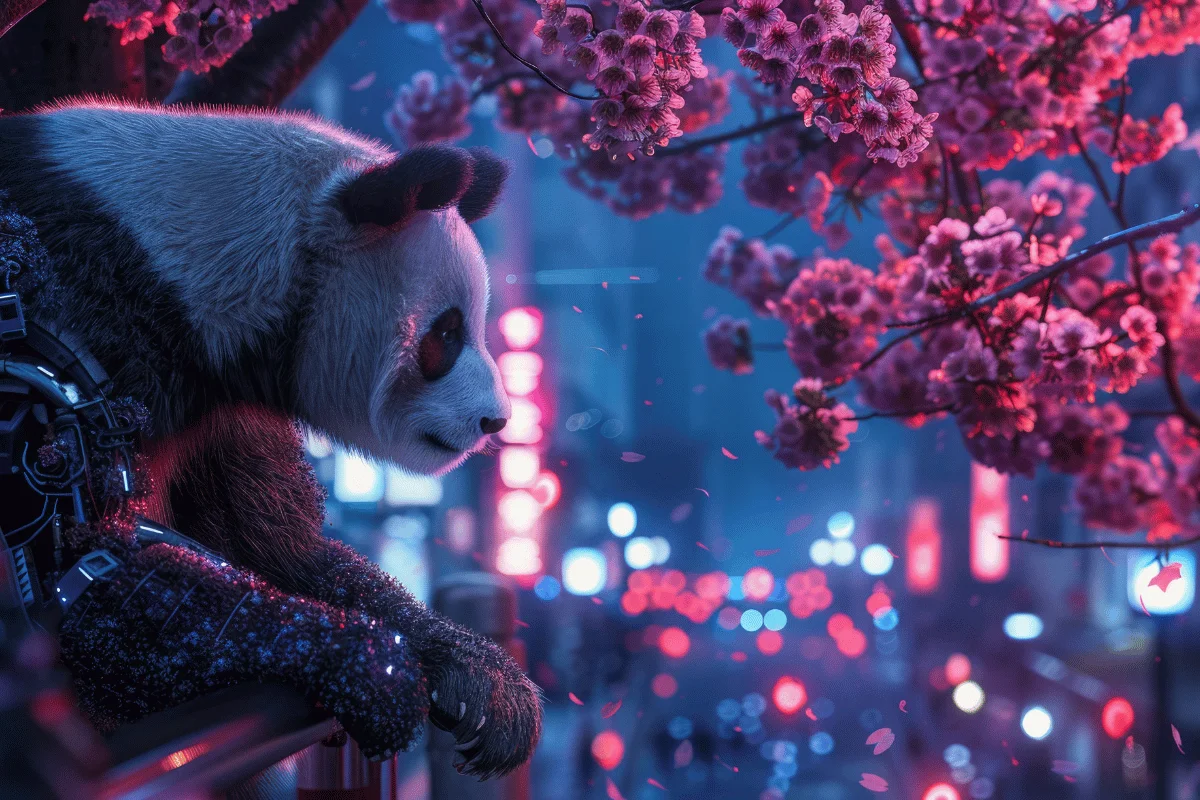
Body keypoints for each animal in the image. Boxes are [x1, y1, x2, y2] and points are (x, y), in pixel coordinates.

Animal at [0, 99, 541, 777]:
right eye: (445, 334)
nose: (495, 420)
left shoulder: (218, 402)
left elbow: (274, 544)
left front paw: (486, 686)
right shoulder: (79, 324)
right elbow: (85, 573)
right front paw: (372, 671)